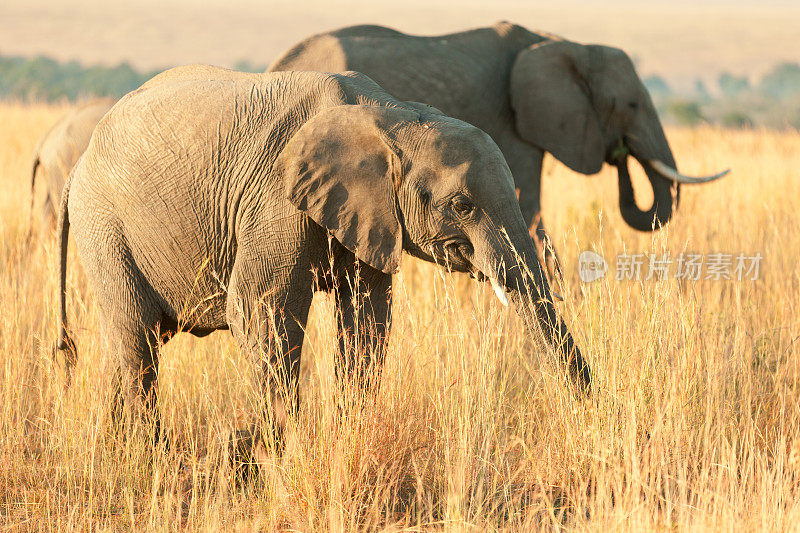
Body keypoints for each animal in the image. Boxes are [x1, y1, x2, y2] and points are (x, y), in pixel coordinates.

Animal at [56, 65, 592, 440]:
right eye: (462, 205)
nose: (591, 404)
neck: (393, 115)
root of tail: (77, 167)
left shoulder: (370, 214)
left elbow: (367, 320)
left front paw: (347, 432)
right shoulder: (274, 198)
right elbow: (260, 311)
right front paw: (264, 449)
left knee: (128, 345)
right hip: (104, 225)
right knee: (137, 338)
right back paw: (146, 456)